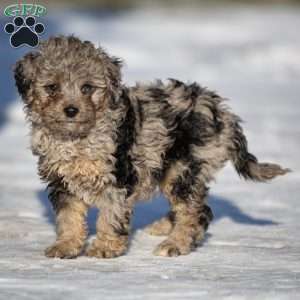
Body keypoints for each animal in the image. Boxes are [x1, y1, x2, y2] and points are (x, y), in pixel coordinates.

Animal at [13, 35, 288, 258]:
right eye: (51, 87)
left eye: (87, 87)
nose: (71, 110)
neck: (78, 138)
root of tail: (222, 113)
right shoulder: (62, 182)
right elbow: (68, 217)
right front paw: (66, 246)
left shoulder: (117, 177)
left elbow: (110, 215)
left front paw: (104, 248)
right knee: (197, 208)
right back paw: (164, 227)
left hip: (183, 167)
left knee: (195, 212)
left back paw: (174, 244)